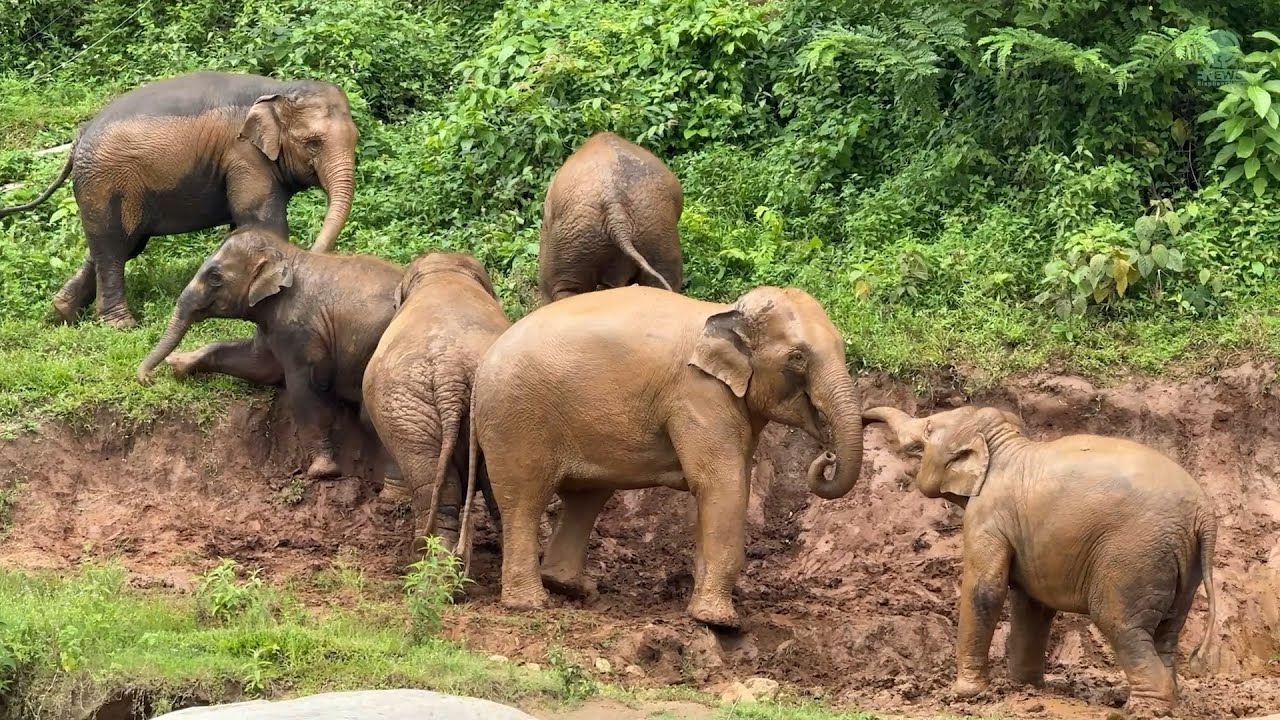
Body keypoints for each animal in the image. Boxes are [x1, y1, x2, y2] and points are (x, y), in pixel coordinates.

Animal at [0, 71, 358, 329]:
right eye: (312, 143)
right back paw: (122, 326)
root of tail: (78, 138)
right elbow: (262, 220)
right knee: (114, 249)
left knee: (113, 246)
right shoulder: (244, 155)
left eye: (356, 139)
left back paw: (63, 314)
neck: (281, 88)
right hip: (107, 183)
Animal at [136, 227, 401, 478]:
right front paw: (177, 363)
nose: (147, 379)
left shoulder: (298, 330)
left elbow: (301, 390)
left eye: (215, 277)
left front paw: (322, 470)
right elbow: (259, 366)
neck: (289, 254)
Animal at [463, 285, 863, 629]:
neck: (723, 314)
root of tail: (482, 366)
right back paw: (530, 604)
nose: (827, 455)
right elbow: (723, 485)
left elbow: (725, 489)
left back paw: (571, 589)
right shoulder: (698, 396)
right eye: (797, 357)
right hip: (517, 420)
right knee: (524, 501)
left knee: (585, 497)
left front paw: (705, 607)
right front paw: (719, 622)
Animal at [862, 404, 1219, 717]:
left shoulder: (986, 515)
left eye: (926, 432)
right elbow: (1032, 603)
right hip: (1182, 564)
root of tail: (1204, 514)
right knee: (1167, 631)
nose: (865, 418)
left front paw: (966, 695)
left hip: (1135, 555)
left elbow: (986, 589)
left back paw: (1146, 710)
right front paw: (1025, 688)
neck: (1003, 444)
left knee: (1120, 624)